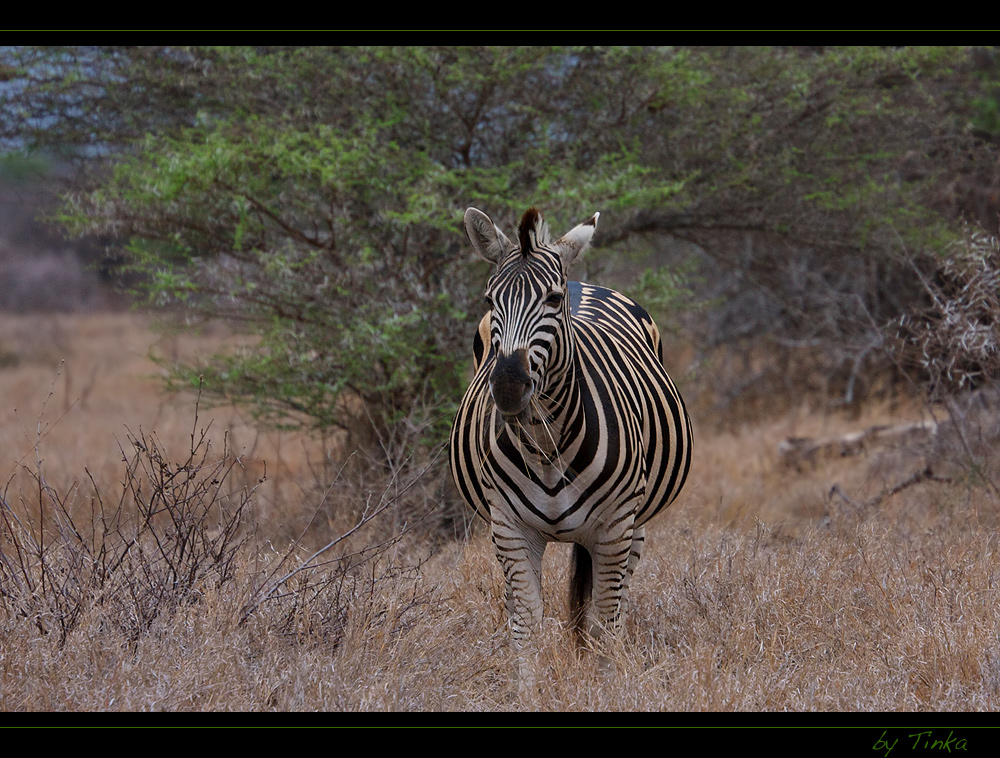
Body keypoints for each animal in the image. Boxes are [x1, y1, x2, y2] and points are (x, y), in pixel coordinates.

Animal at [450, 208, 692, 688]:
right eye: (489, 300)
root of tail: (584, 281)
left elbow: (604, 619)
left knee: (612, 605)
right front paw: (528, 692)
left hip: (634, 524)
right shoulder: (509, 527)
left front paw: (606, 685)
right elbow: (526, 621)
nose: (507, 387)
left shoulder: (616, 526)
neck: (547, 445)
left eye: (553, 299)